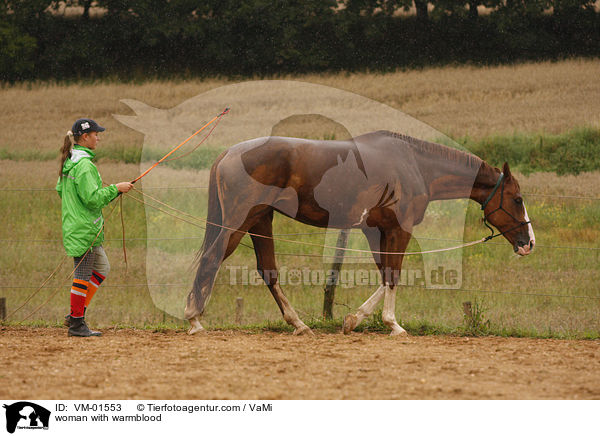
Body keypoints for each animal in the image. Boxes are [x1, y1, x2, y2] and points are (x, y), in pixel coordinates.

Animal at [183, 131, 536, 336]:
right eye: (517, 199)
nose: (528, 243)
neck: (415, 165)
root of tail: (228, 154)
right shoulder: (399, 229)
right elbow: (394, 273)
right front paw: (393, 324)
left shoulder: (375, 231)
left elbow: (384, 273)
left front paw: (354, 319)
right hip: (240, 220)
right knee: (213, 260)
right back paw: (194, 320)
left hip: (260, 220)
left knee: (268, 271)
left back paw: (299, 325)